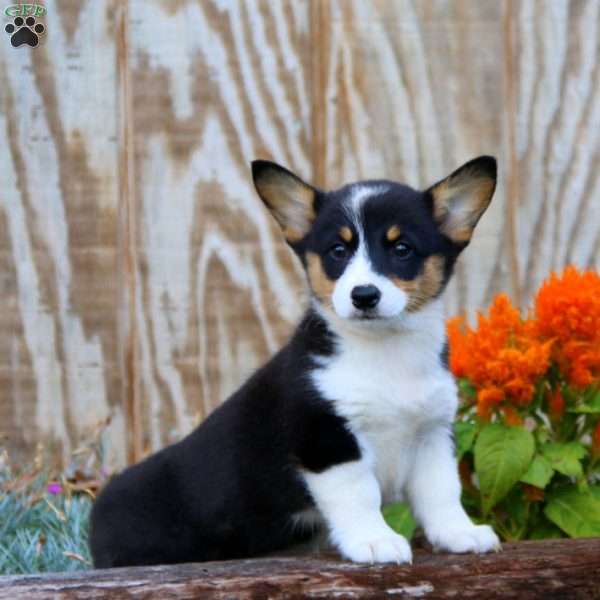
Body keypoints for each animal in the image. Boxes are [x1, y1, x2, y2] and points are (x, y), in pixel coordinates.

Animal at [89, 156, 502, 568]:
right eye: (338, 251)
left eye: (401, 248)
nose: (363, 295)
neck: (385, 350)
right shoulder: (326, 438)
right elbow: (360, 494)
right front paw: (374, 541)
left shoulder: (432, 434)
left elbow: (442, 492)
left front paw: (460, 533)